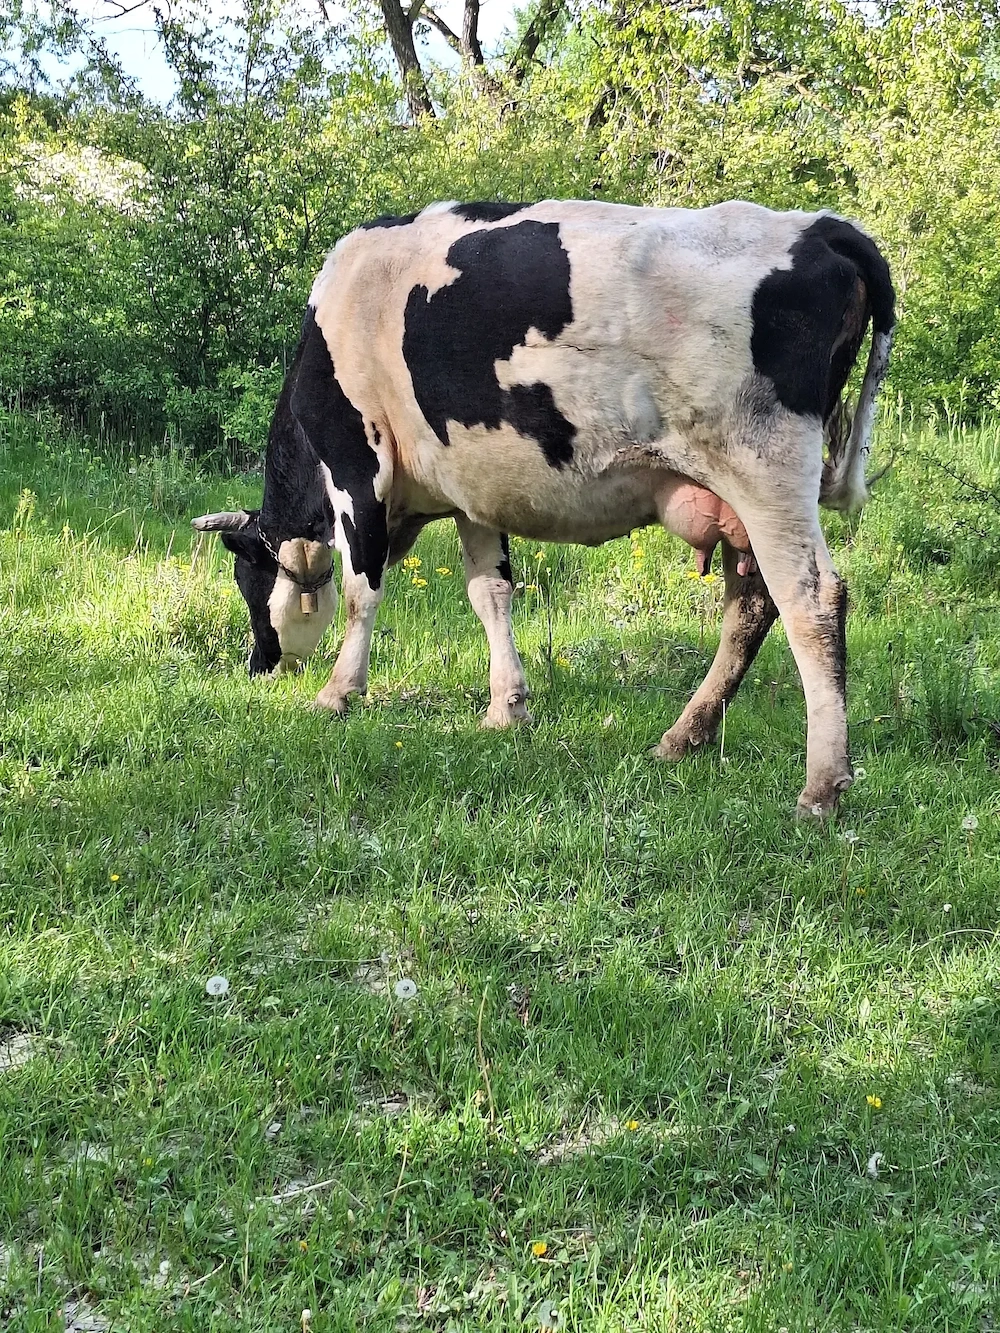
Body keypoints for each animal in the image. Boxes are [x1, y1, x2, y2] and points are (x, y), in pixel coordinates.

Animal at [193, 199, 894, 818]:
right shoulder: (470, 491)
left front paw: (338, 693)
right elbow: (490, 594)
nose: (257, 666)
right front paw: (506, 709)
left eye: (249, 580)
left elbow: (363, 591)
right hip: (738, 503)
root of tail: (822, 227)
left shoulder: (356, 467)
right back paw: (682, 737)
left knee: (812, 603)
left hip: (765, 472)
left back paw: (821, 788)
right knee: (751, 607)